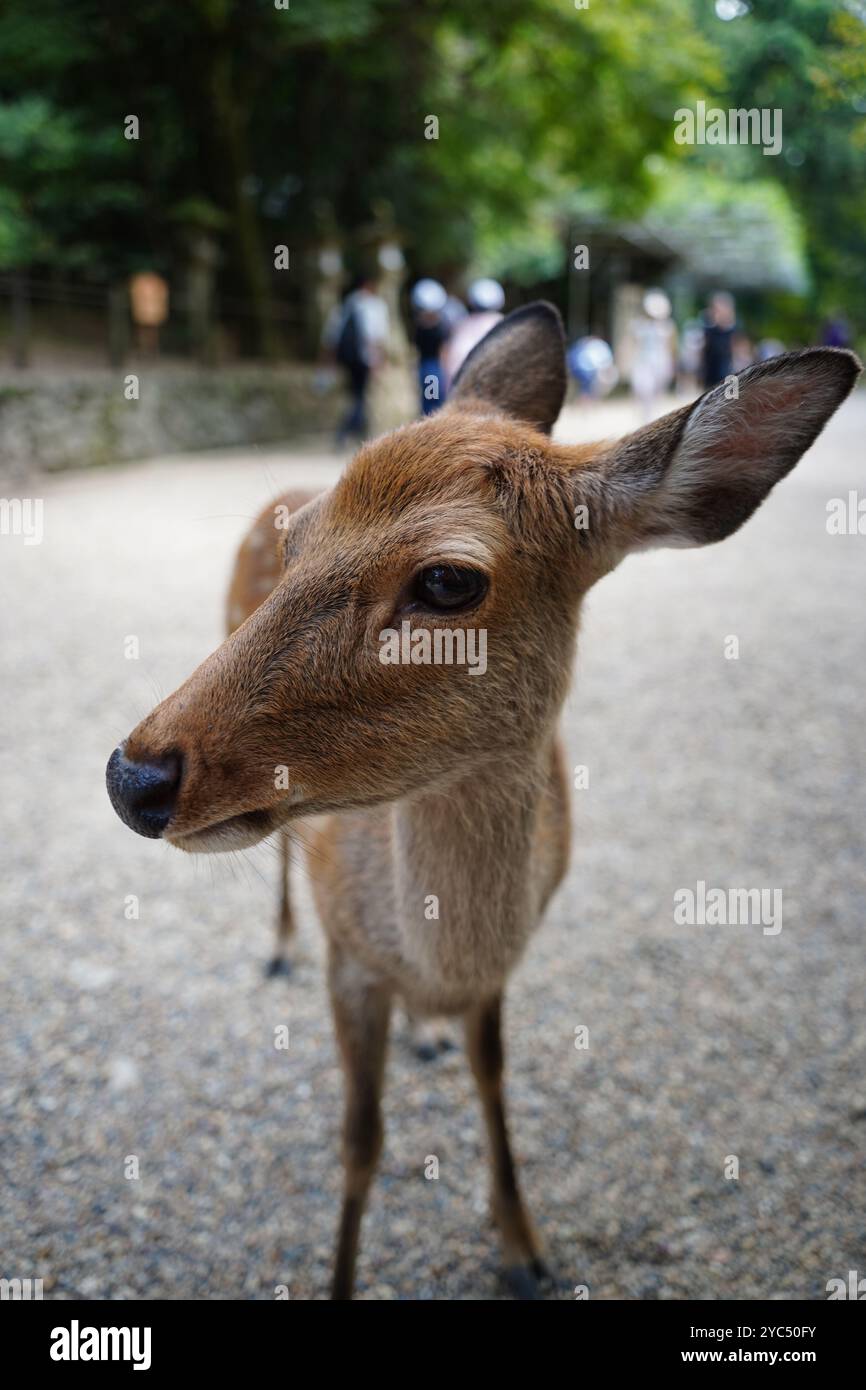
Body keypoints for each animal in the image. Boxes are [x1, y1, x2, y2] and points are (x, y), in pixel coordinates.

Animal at [104, 298, 856, 1295]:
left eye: (448, 580)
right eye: (302, 539)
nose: (133, 775)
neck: (444, 954)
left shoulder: (502, 968)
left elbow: (494, 1076)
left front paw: (525, 1247)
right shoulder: (351, 955)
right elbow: (359, 1142)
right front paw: (344, 1276)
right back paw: (279, 949)